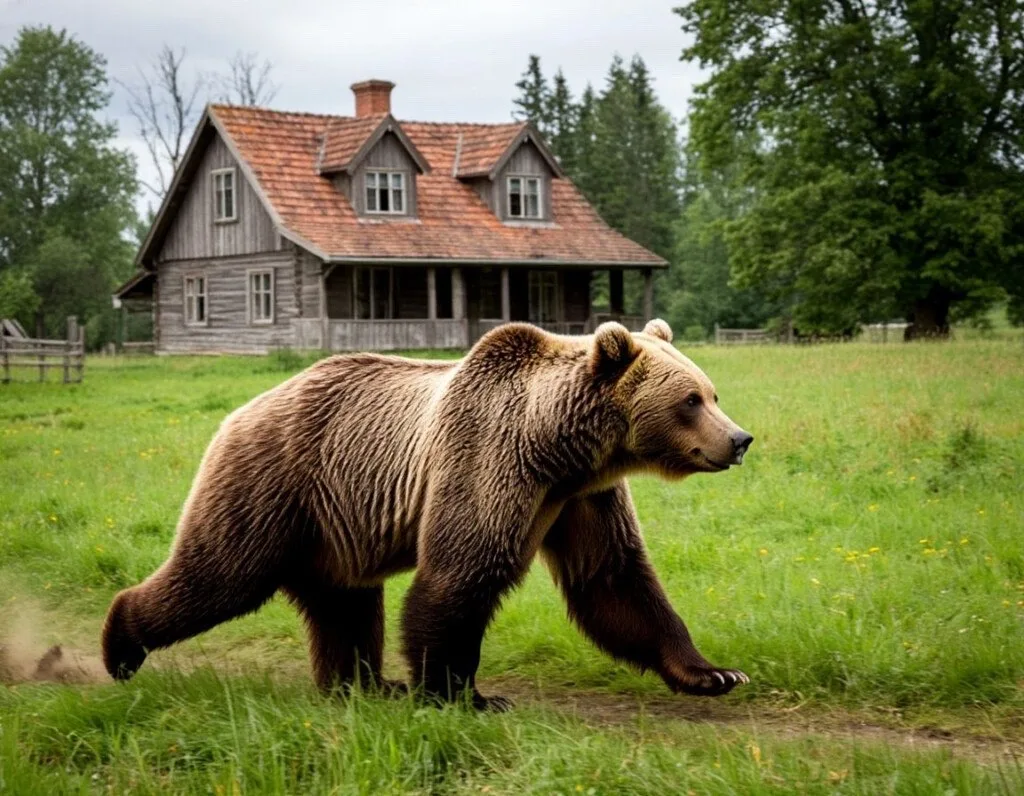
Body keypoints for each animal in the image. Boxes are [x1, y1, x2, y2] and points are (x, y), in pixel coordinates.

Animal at [102, 319, 753, 709]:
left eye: (712, 392)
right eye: (690, 400)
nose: (739, 439)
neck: (559, 448)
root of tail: (239, 411)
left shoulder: (582, 498)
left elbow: (614, 578)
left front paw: (715, 673)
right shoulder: (488, 458)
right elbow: (460, 574)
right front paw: (464, 694)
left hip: (332, 526)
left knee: (343, 604)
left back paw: (365, 685)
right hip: (271, 482)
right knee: (219, 575)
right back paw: (120, 645)